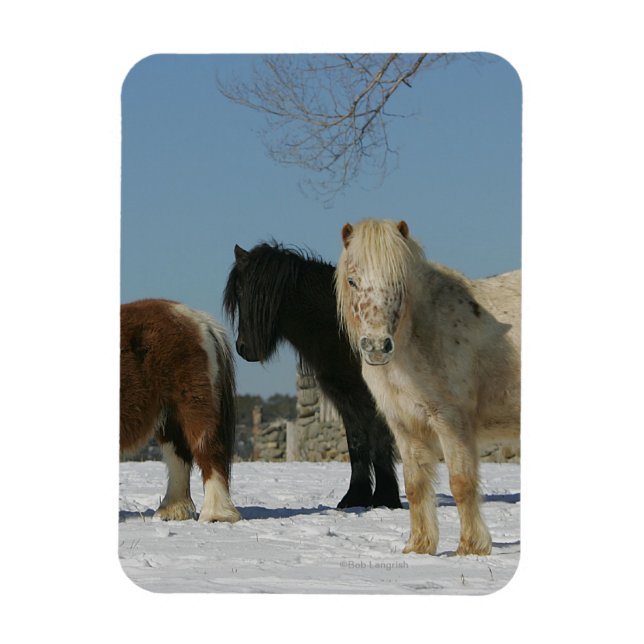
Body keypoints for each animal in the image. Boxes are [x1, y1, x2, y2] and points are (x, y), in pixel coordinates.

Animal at [120, 299, 241, 523]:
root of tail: (198, 319)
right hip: (170, 417)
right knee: (179, 457)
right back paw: (172, 511)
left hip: (192, 406)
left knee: (208, 451)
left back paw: (217, 514)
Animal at [223, 242, 402, 509]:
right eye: (238, 293)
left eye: (248, 292)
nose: (244, 348)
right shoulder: (345, 394)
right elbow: (356, 440)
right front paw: (355, 497)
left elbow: (379, 438)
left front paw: (386, 498)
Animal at [336, 219, 520, 555]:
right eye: (353, 281)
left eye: (398, 280)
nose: (377, 347)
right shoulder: (405, 427)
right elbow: (415, 486)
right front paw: (419, 548)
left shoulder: (451, 422)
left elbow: (461, 482)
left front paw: (470, 548)